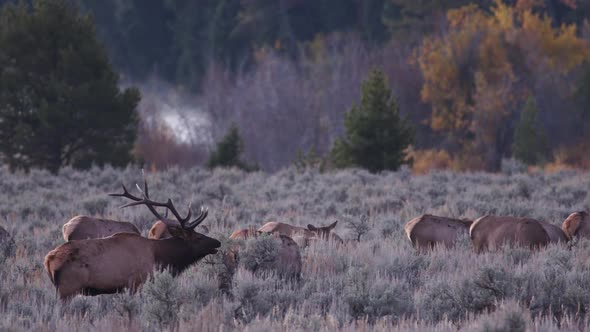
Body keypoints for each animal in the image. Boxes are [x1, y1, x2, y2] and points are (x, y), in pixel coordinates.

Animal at [44, 180, 220, 300]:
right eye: (198, 237)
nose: (218, 242)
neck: (159, 257)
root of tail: (48, 260)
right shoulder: (137, 282)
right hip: (68, 289)